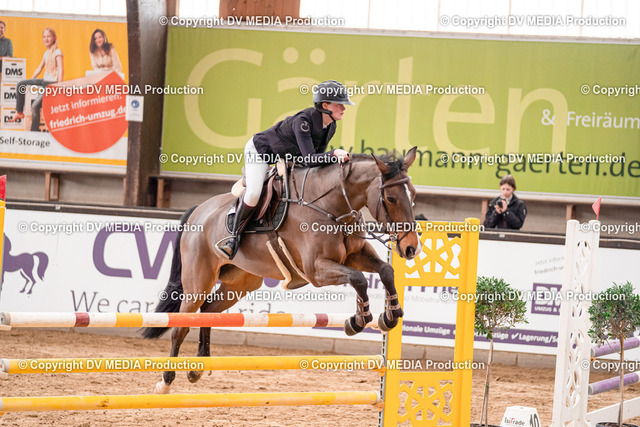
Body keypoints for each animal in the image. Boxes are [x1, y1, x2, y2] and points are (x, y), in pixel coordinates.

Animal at [142, 147, 421, 394]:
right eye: (391, 198)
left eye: (414, 195)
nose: (411, 248)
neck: (333, 206)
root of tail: (198, 210)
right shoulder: (316, 270)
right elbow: (359, 279)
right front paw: (358, 320)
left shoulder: (356, 255)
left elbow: (385, 270)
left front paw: (391, 315)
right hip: (198, 281)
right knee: (181, 326)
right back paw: (165, 382)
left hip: (240, 282)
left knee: (209, 311)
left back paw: (198, 367)